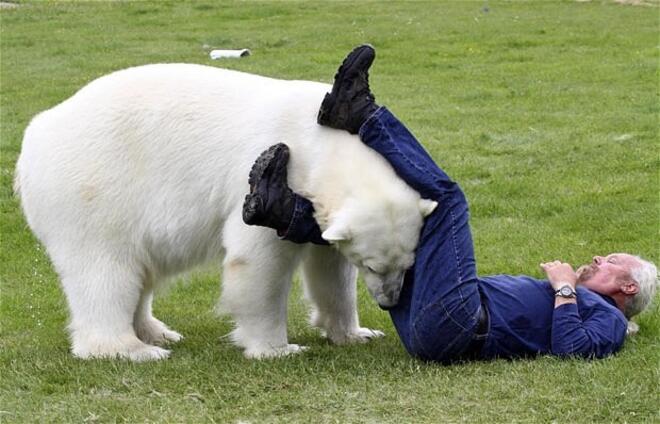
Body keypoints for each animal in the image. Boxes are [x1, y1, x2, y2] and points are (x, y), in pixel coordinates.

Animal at [12, 63, 436, 362]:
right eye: (374, 266)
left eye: (408, 264)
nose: (389, 301)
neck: (319, 139)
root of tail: (34, 137)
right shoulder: (269, 180)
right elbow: (258, 262)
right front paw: (277, 349)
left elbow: (329, 270)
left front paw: (355, 334)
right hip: (95, 193)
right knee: (105, 272)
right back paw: (132, 349)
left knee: (140, 268)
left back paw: (155, 331)